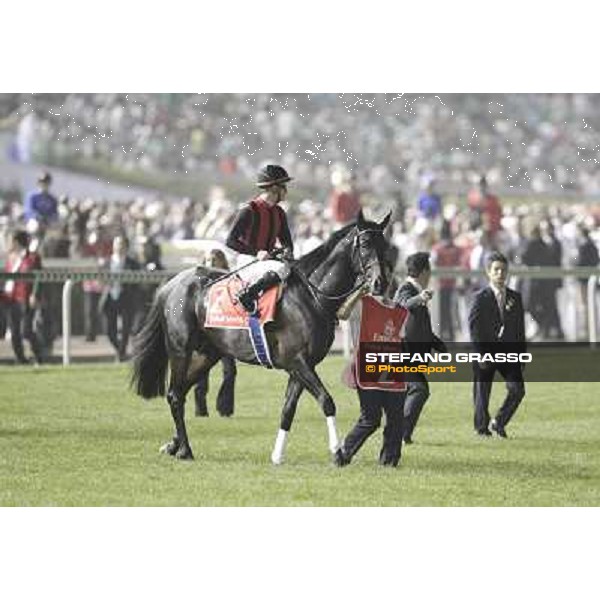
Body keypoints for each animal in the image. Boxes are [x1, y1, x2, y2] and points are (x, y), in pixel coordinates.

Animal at [131, 210, 392, 464]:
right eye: (366, 244)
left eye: (385, 245)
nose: (381, 283)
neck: (312, 296)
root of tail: (171, 284)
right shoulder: (298, 361)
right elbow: (327, 401)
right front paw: (337, 453)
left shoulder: (301, 367)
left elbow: (287, 410)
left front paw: (277, 456)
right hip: (181, 351)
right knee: (175, 395)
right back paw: (185, 449)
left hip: (206, 355)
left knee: (179, 393)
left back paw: (173, 445)